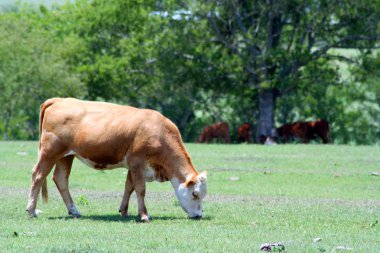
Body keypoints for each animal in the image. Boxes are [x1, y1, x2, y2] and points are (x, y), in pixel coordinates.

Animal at [26, 98, 208, 222]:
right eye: (195, 193)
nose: (199, 215)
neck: (159, 132)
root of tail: (59, 100)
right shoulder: (137, 162)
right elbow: (140, 189)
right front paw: (144, 215)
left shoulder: (133, 165)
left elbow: (129, 187)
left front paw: (124, 211)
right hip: (50, 153)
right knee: (38, 176)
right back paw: (32, 210)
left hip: (66, 156)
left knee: (61, 179)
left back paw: (74, 210)